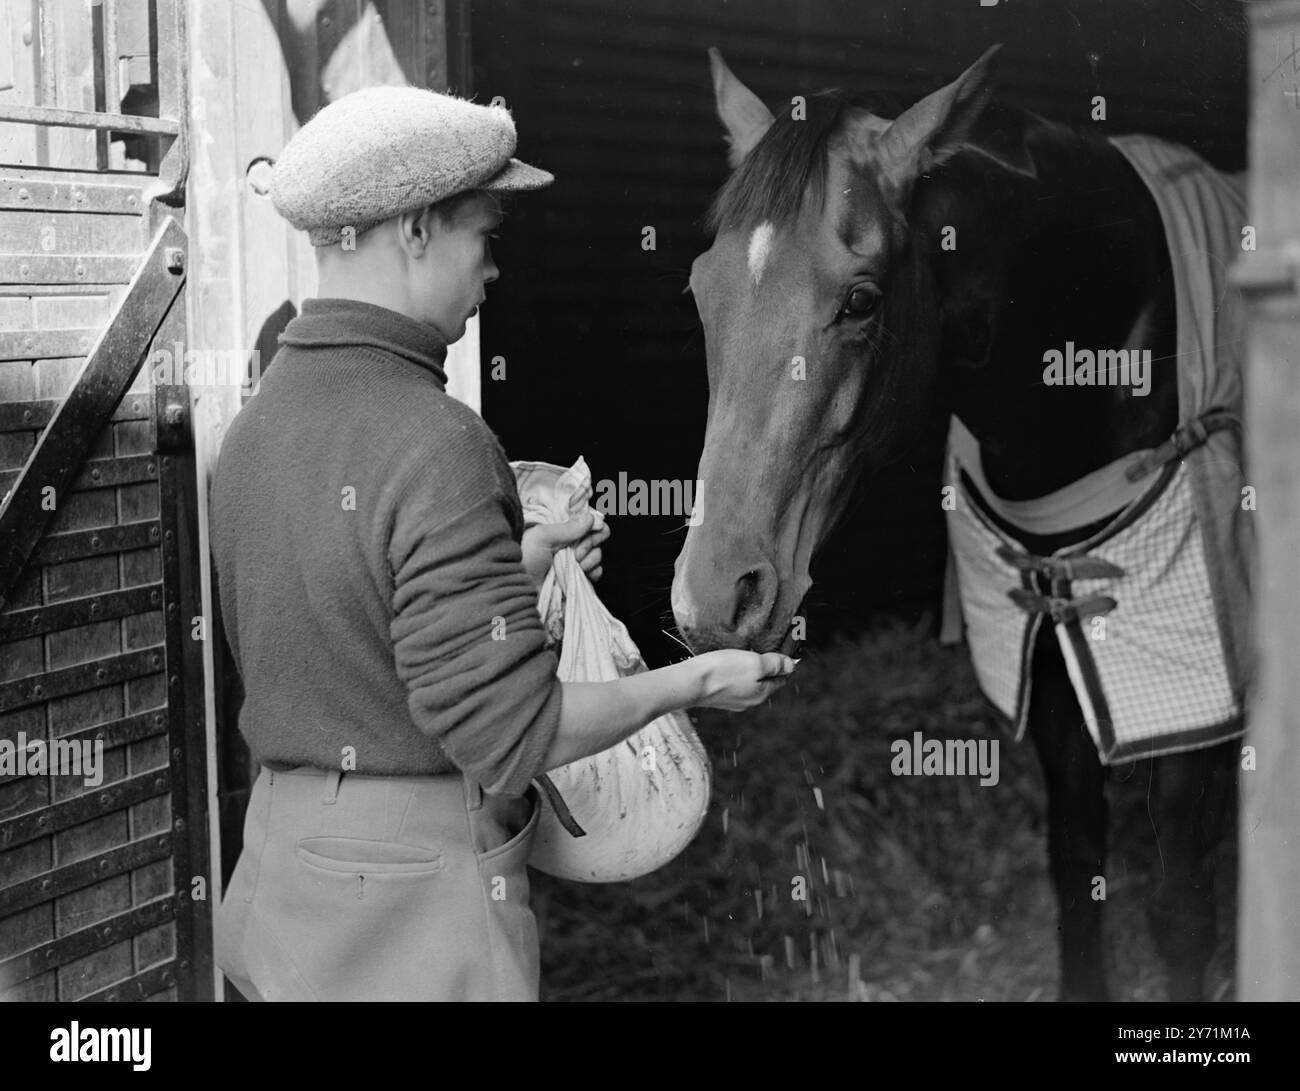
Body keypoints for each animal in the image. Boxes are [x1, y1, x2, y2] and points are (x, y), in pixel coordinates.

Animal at [670, 45, 1243, 1001]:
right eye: (700, 290)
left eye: (862, 300)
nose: (716, 597)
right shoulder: (1047, 650)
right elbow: (1074, 867)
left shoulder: (1189, 684)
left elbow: (1183, 914)